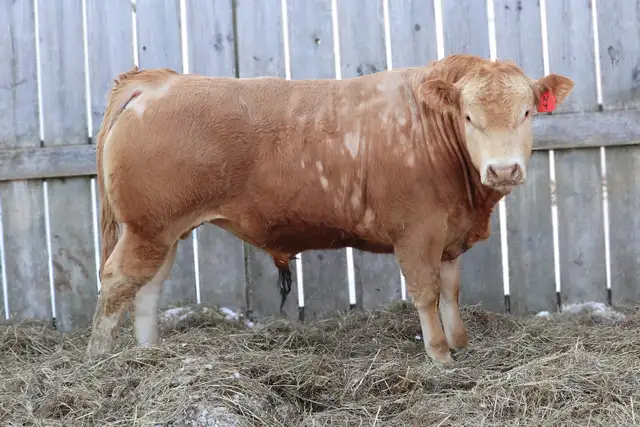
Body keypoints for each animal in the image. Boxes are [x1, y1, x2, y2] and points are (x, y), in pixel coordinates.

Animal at [86, 54, 574, 364]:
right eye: (469, 117)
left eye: (527, 112)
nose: (503, 169)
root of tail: (156, 80)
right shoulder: (416, 234)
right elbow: (427, 293)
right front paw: (440, 357)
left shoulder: (448, 236)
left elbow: (451, 291)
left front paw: (461, 343)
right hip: (148, 228)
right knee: (116, 283)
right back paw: (99, 361)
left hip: (162, 231)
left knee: (147, 288)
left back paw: (150, 354)